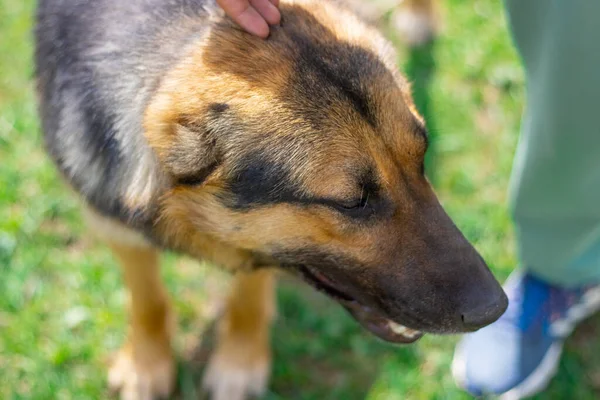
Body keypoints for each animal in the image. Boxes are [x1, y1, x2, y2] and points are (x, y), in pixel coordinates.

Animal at [35, 1, 506, 398]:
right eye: (352, 202)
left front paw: (239, 362)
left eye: (421, 158)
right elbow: (148, 300)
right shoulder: (113, 223)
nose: (496, 309)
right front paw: (147, 365)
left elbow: (247, 297)